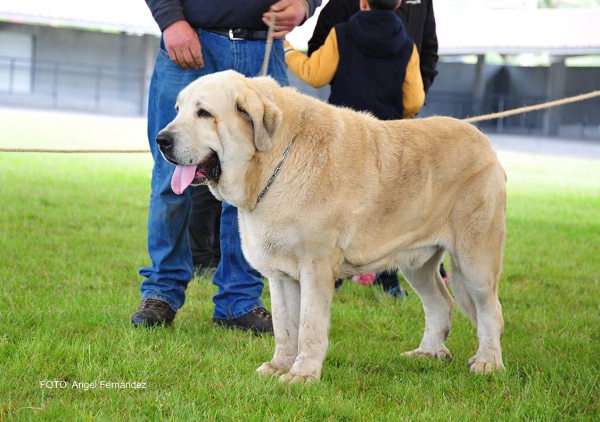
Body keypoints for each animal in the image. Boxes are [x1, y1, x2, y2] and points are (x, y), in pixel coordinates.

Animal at [156, 70, 506, 382]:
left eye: (204, 113)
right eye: (178, 110)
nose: (161, 140)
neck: (274, 164)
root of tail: (486, 143)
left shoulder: (316, 268)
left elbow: (309, 327)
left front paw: (302, 375)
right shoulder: (281, 275)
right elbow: (285, 327)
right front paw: (279, 367)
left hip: (475, 260)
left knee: (490, 310)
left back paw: (488, 362)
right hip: (417, 263)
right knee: (440, 302)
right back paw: (428, 353)